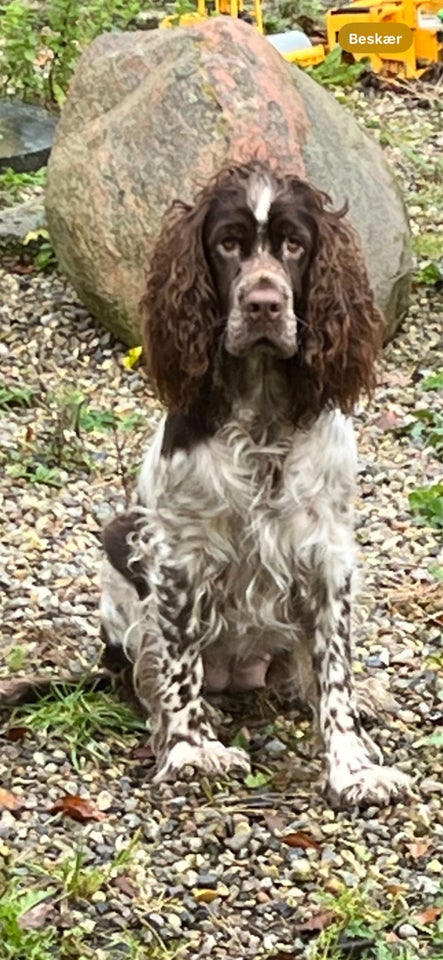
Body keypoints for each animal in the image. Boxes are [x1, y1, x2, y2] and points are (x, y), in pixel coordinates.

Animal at [100, 161, 412, 808]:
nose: (264, 304)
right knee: (150, 669)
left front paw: (353, 769)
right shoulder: (179, 553)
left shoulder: (329, 554)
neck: (263, 415)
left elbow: (334, 676)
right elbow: (180, 664)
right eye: (227, 244)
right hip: (123, 549)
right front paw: (190, 751)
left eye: (295, 244)